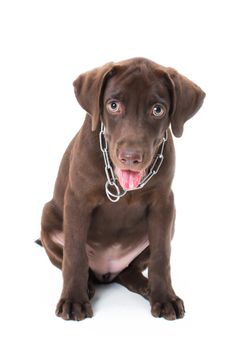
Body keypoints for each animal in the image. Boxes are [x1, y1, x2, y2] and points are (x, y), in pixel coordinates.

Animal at [38, 56, 206, 320]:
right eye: (113, 105)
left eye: (157, 109)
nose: (130, 157)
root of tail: (106, 272)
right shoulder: (77, 201)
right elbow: (74, 255)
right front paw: (74, 300)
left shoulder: (163, 204)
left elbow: (162, 255)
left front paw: (164, 297)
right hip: (47, 217)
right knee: (73, 262)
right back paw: (87, 286)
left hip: (168, 225)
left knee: (129, 271)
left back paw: (146, 286)